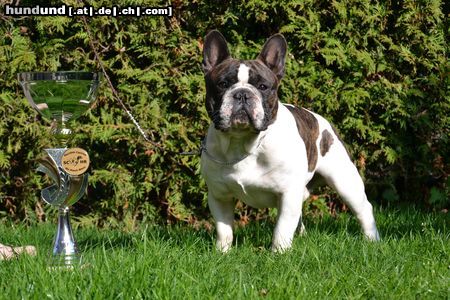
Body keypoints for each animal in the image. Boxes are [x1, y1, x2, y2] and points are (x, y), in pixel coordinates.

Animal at [200, 30, 380, 252]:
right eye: (223, 84)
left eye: (263, 86)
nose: (242, 94)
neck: (243, 143)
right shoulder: (219, 196)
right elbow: (224, 229)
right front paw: (222, 252)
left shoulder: (287, 194)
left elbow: (282, 228)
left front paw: (278, 253)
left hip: (345, 181)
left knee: (364, 209)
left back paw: (372, 240)